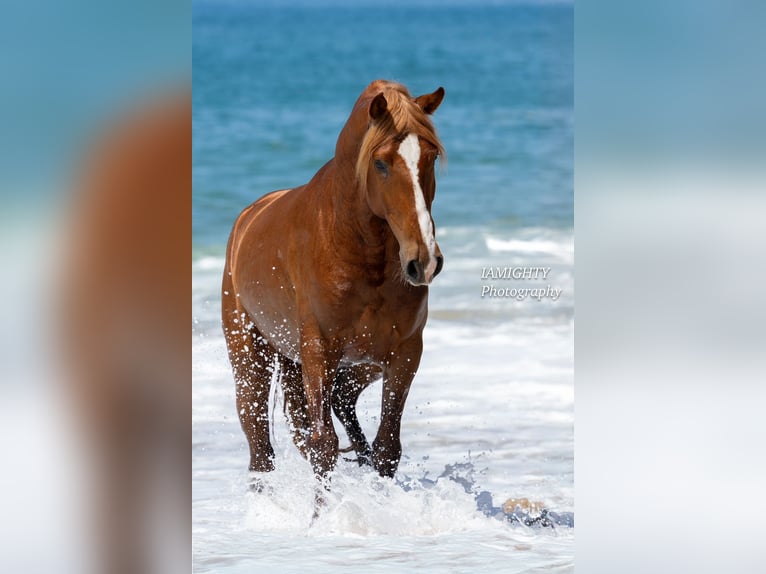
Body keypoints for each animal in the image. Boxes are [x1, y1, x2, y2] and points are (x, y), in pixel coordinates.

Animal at [222, 77, 448, 482]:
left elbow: (387, 447)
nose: (423, 261)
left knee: (343, 402)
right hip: (250, 361)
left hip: (356, 364)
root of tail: (247, 217)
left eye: (431, 157)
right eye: (380, 163)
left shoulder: (405, 352)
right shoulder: (318, 352)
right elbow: (323, 446)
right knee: (260, 449)